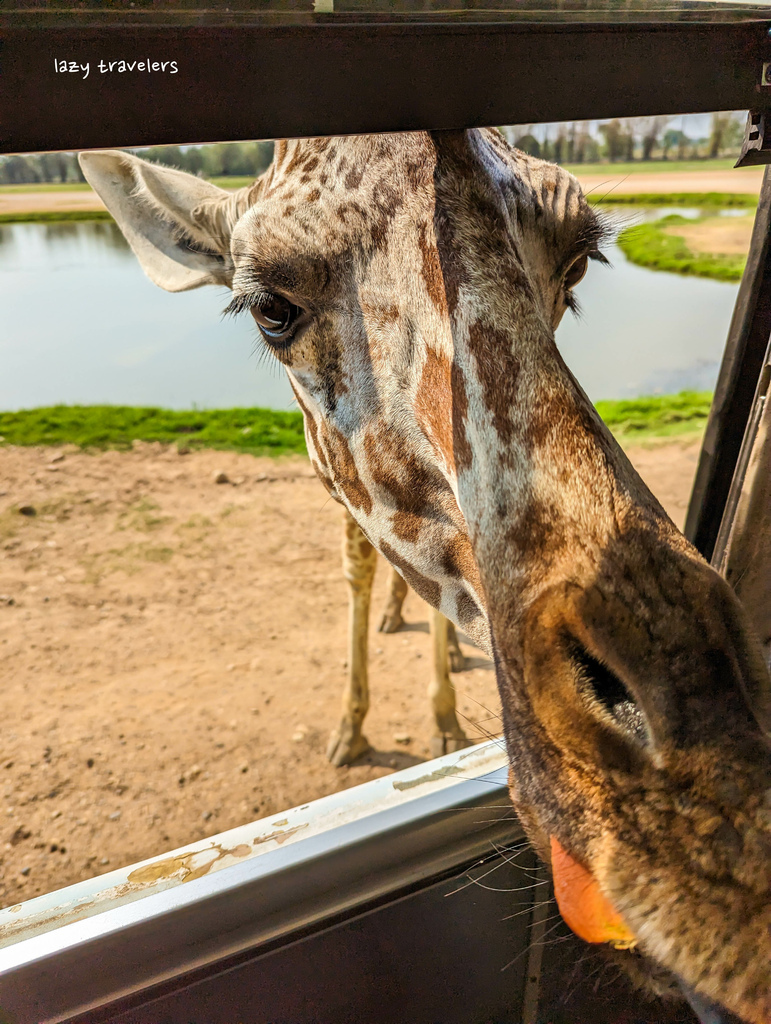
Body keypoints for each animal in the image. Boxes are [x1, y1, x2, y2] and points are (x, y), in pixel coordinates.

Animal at [78, 132, 769, 1019]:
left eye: (577, 265)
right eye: (271, 308)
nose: (714, 819)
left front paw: (440, 719)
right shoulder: (337, 488)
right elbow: (357, 572)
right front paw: (349, 729)